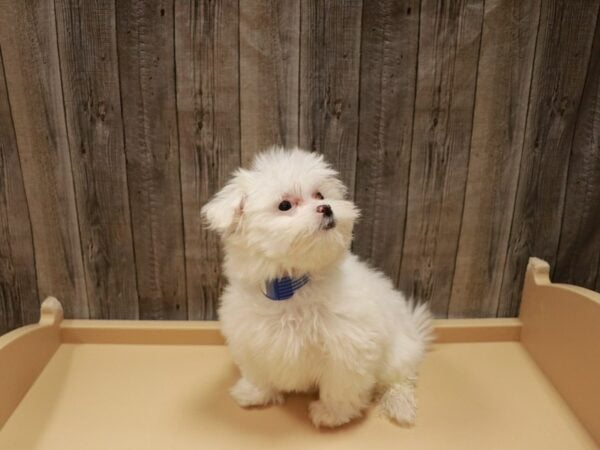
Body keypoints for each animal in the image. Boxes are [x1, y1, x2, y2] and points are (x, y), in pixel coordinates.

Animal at [202, 149, 432, 428]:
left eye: (320, 195)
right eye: (285, 205)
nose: (327, 207)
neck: (291, 286)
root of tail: (413, 333)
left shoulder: (349, 348)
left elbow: (341, 385)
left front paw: (332, 414)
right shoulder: (250, 338)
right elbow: (256, 370)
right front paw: (255, 393)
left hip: (397, 354)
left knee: (400, 380)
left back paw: (400, 405)